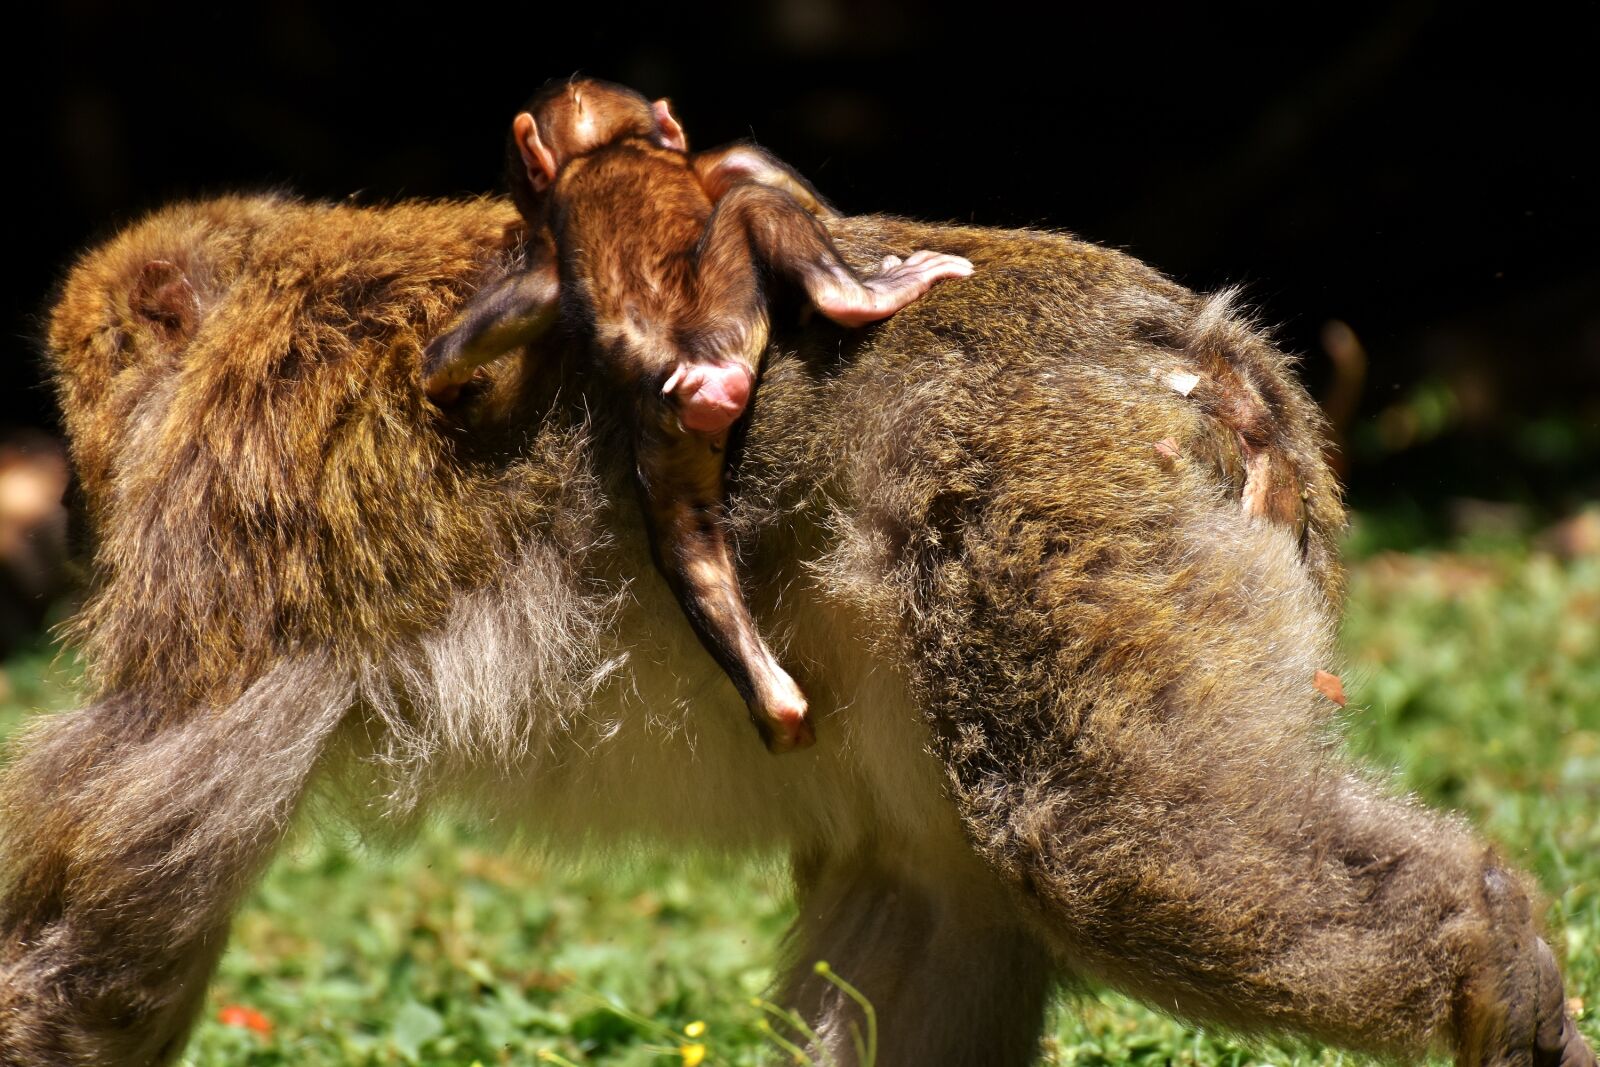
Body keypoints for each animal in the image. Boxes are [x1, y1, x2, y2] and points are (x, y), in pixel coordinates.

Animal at [0, 192, 1593, 1067]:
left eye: (83, 417)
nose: (69, 505)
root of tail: (1202, 349)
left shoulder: (234, 512)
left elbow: (136, 833)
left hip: (1035, 498)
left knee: (1105, 841)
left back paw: (1491, 942)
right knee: (943, 889)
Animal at [421, 78, 971, 753]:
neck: (599, 148)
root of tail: (689, 372)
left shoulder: (550, 251)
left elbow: (528, 298)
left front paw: (444, 380)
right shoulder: (716, 164)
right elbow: (760, 177)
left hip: (663, 431)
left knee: (685, 542)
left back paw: (776, 705)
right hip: (722, 303)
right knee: (753, 205)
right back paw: (857, 296)